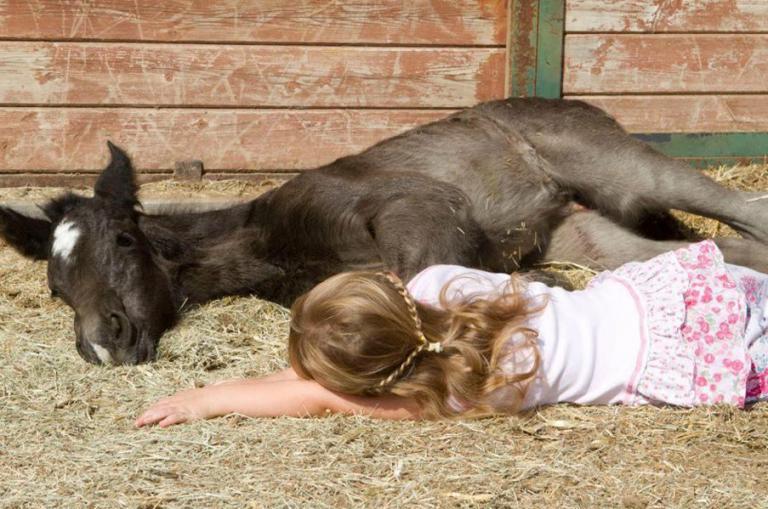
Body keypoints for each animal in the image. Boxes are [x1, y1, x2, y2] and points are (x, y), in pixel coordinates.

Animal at [3, 98, 768, 365]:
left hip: (624, 171)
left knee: (744, 207)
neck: (269, 240)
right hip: (590, 231)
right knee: (720, 244)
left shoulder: (416, 205)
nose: (104, 343)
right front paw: (535, 282)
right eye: (56, 286)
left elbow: (423, 280)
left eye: (124, 242)